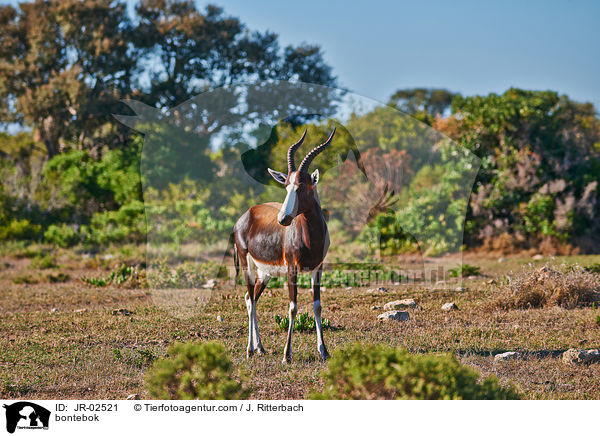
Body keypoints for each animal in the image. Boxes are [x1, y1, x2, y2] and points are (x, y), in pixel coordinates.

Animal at [232, 127, 336, 362]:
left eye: (302, 185)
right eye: (286, 185)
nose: (283, 219)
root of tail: (245, 216)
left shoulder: (318, 269)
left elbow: (317, 306)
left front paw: (324, 351)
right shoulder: (292, 269)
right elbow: (293, 307)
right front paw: (286, 355)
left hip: (265, 273)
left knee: (251, 298)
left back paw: (260, 348)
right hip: (247, 264)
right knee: (250, 298)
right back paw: (249, 349)